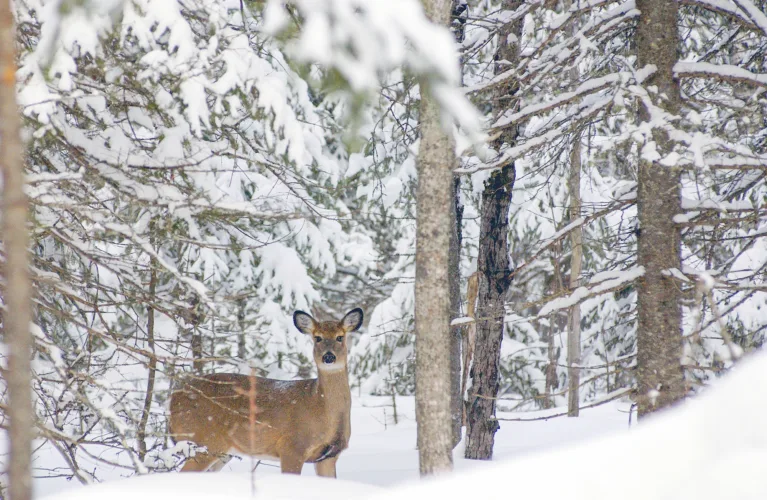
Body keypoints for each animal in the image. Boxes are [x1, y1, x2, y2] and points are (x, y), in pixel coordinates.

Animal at [168, 308, 364, 477]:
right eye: (317, 338)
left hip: (222, 451)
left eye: (340, 337)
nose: (328, 357)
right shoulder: (292, 447)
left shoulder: (329, 457)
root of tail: (173, 398)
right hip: (203, 440)